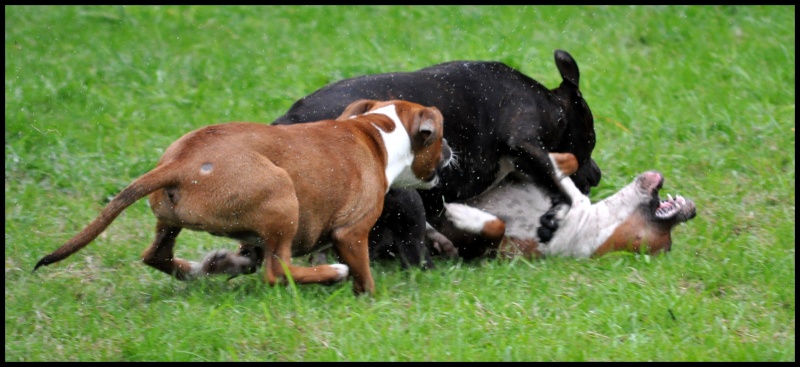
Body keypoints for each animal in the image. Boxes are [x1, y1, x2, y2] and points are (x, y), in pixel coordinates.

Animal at [274, 49, 600, 268]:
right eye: (591, 142)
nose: (597, 176)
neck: (552, 105)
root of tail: (288, 121)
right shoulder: (525, 143)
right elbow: (555, 178)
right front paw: (557, 212)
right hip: (405, 197)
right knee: (417, 257)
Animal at [434, 154, 696, 260]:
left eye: (664, 240)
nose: (692, 212)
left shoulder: (494, 252)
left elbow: (497, 228)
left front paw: (462, 215)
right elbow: (567, 165)